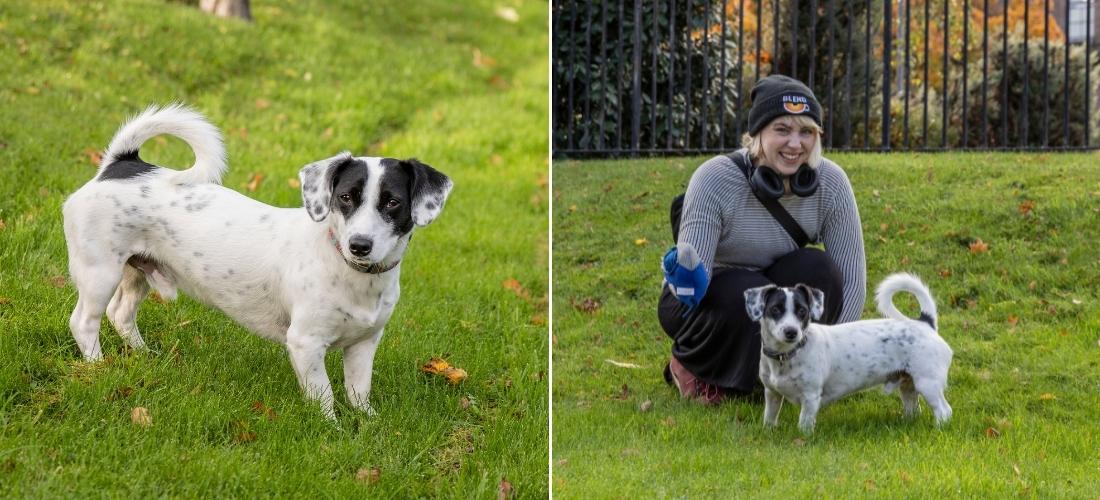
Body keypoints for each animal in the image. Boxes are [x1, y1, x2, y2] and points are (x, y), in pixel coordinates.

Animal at [62, 104, 451, 419]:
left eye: (392, 202)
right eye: (345, 197)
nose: (359, 245)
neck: (352, 273)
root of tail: (122, 165)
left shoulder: (364, 343)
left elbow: (359, 391)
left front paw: (367, 422)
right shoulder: (305, 344)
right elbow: (323, 395)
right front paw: (332, 428)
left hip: (136, 271)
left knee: (121, 313)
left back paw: (145, 355)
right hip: (99, 272)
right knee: (85, 322)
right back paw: (97, 366)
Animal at [748, 273, 954, 435]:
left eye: (802, 311)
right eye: (775, 309)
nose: (791, 332)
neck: (787, 355)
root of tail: (925, 323)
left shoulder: (810, 397)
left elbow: (804, 424)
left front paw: (803, 439)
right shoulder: (772, 394)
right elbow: (769, 418)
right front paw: (768, 433)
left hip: (928, 383)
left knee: (944, 411)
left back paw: (938, 429)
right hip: (908, 385)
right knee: (914, 408)